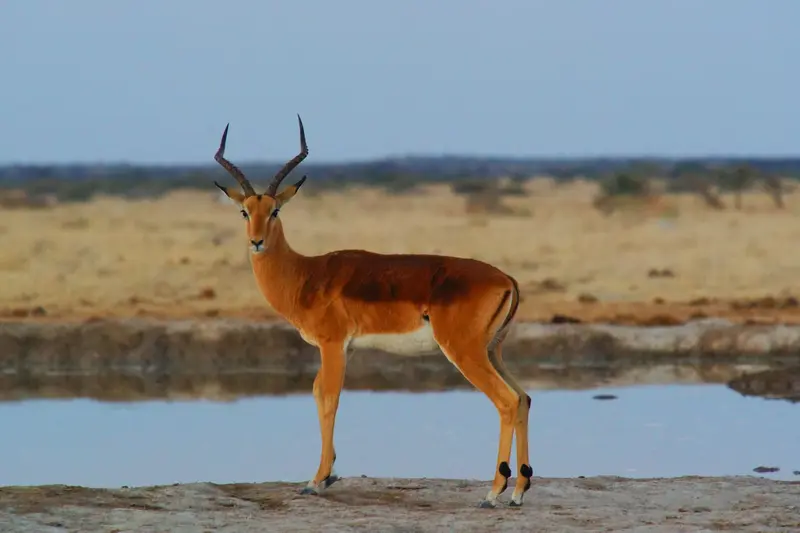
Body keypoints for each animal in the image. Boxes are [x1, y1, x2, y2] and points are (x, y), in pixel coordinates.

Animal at [212, 115, 532, 508]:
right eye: (245, 211)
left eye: (275, 210)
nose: (256, 241)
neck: (306, 275)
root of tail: (506, 278)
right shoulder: (342, 348)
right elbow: (319, 392)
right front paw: (328, 475)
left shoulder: (333, 345)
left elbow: (328, 396)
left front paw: (317, 480)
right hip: (493, 351)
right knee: (523, 398)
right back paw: (518, 491)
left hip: (465, 352)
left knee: (506, 401)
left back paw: (493, 492)